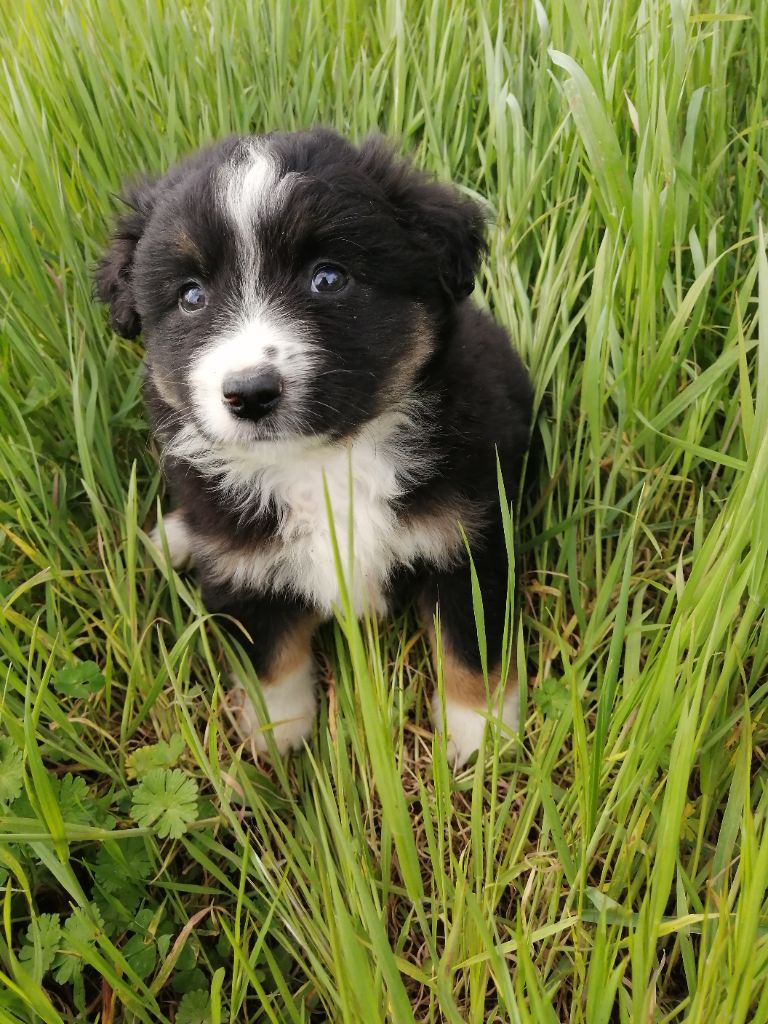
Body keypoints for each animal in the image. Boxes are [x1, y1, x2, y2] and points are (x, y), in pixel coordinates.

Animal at [97, 130, 536, 770]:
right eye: (191, 296)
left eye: (327, 278)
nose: (250, 392)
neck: (323, 461)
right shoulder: (245, 567)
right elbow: (269, 657)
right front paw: (275, 732)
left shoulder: (467, 540)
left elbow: (469, 646)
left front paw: (478, 732)